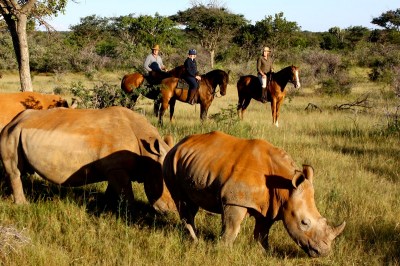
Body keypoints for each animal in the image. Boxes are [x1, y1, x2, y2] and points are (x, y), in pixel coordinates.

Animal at [0, 105, 175, 212]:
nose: (171, 210)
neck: (147, 151)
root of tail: (13, 120)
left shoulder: (114, 169)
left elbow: (114, 190)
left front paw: (105, 207)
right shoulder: (117, 168)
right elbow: (126, 195)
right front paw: (130, 215)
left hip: (17, 131)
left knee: (18, 170)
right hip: (11, 132)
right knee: (15, 171)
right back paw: (23, 205)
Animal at [164, 131, 346, 258]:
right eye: (304, 223)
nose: (323, 253)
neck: (285, 187)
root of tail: (179, 143)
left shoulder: (272, 205)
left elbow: (262, 232)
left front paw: (265, 252)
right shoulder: (234, 200)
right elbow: (232, 228)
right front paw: (223, 251)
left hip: (191, 162)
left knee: (190, 203)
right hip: (170, 161)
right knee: (182, 202)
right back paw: (195, 241)